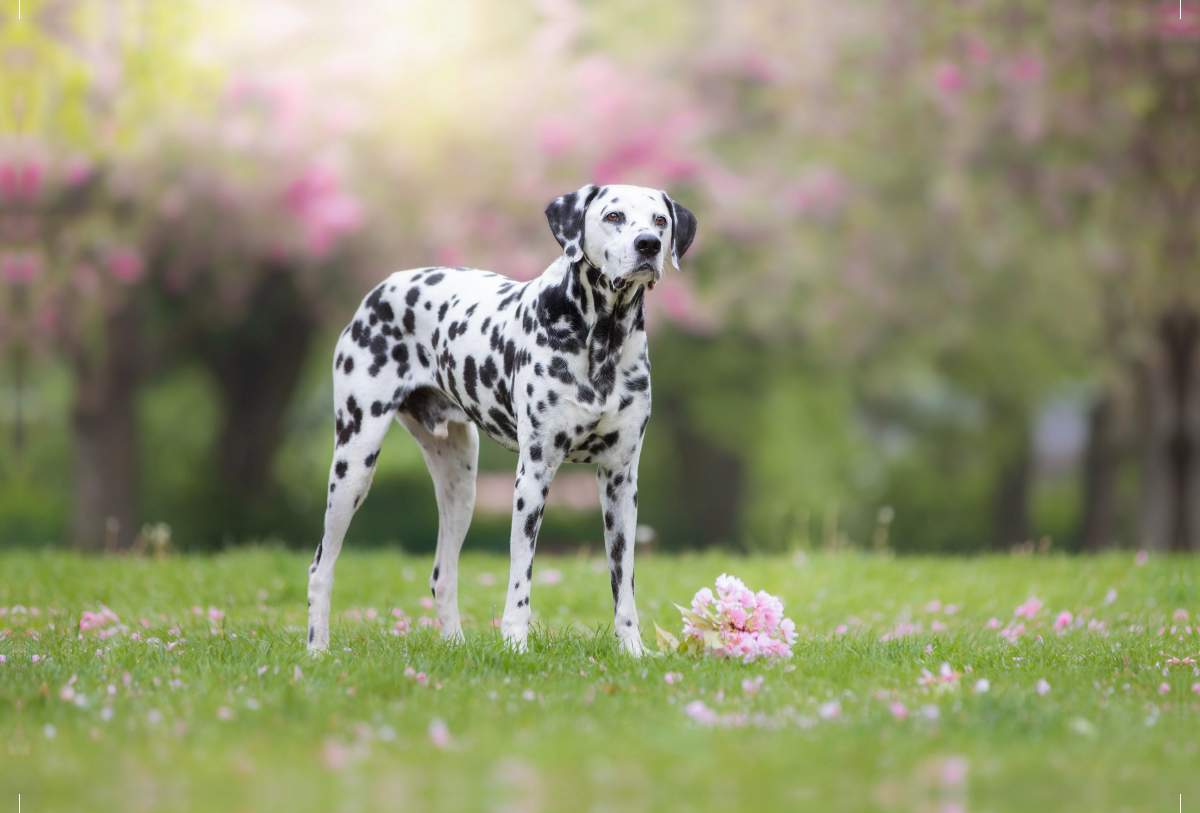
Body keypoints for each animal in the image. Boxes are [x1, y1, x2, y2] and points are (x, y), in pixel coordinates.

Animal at [307, 183, 696, 657]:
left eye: (660, 221)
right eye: (613, 216)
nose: (649, 245)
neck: (603, 338)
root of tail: (383, 288)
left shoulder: (621, 481)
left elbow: (624, 584)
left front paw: (633, 650)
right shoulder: (534, 474)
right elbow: (520, 577)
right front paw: (515, 644)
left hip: (460, 484)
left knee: (443, 575)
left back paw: (456, 645)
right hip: (354, 465)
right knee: (321, 567)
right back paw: (317, 649)